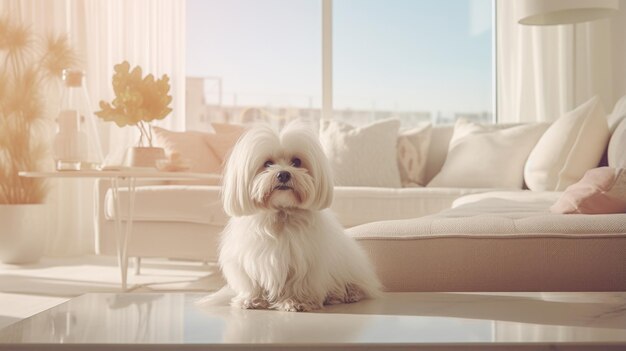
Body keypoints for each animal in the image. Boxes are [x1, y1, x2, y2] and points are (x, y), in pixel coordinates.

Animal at [211, 121, 380, 314]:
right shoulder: (248, 259)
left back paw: (346, 294)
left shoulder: (305, 262)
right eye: (267, 163)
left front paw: (295, 302)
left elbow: (298, 283)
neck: (282, 214)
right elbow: (252, 283)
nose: (283, 174)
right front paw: (252, 300)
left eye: (297, 161)